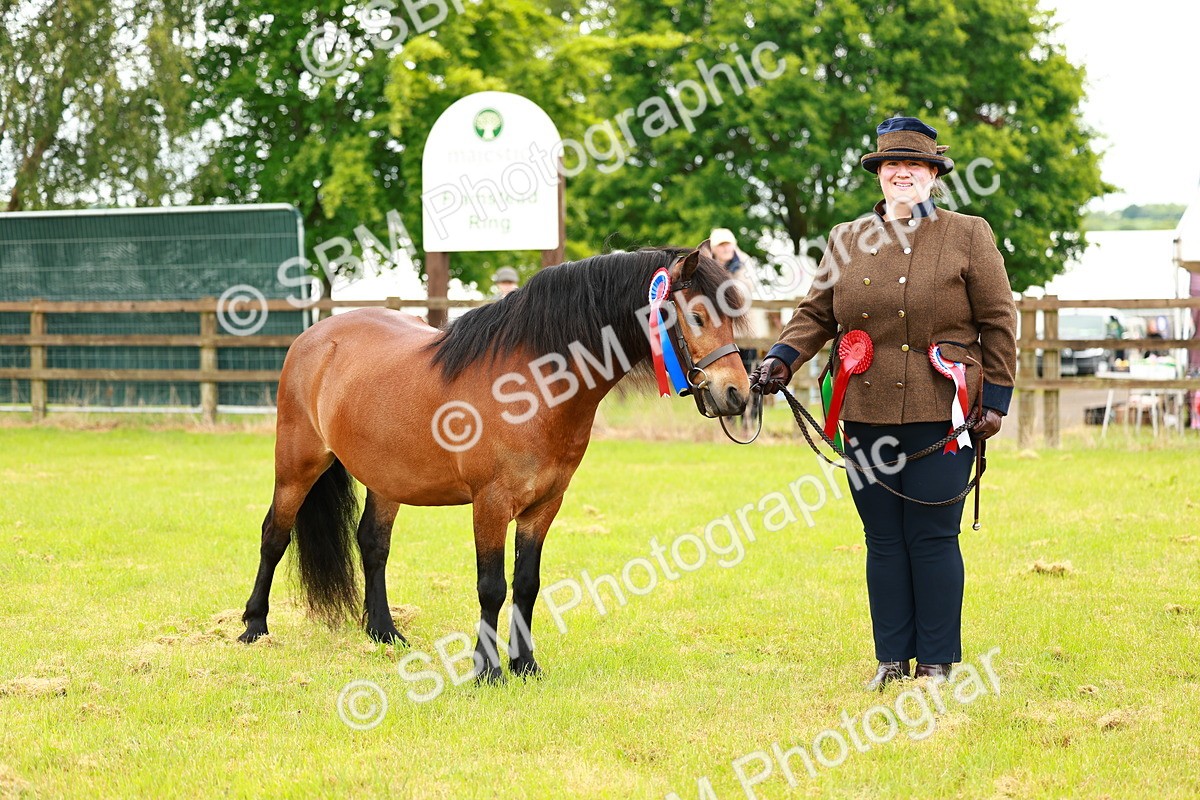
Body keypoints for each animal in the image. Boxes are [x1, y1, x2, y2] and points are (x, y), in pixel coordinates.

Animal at [237, 241, 751, 682]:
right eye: (698, 316)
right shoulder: (490, 503)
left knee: (373, 544)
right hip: (297, 465)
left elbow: (526, 584)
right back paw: (253, 627)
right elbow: (492, 587)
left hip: (388, 479)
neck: (531, 386)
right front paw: (487, 670)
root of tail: (315, 336)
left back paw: (385, 632)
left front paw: (525, 664)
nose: (737, 393)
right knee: (274, 534)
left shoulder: (544, 505)